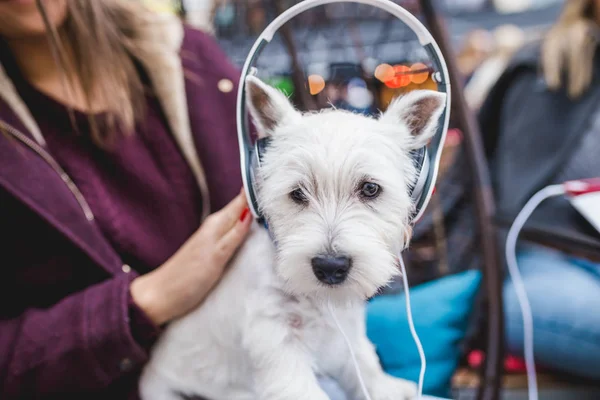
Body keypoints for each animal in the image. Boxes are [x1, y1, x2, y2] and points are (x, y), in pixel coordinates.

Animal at [139, 76, 446, 400]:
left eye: (370, 189)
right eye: (297, 194)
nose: (330, 266)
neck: (318, 299)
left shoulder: (346, 330)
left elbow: (363, 361)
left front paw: (386, 387)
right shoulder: (276, 332)